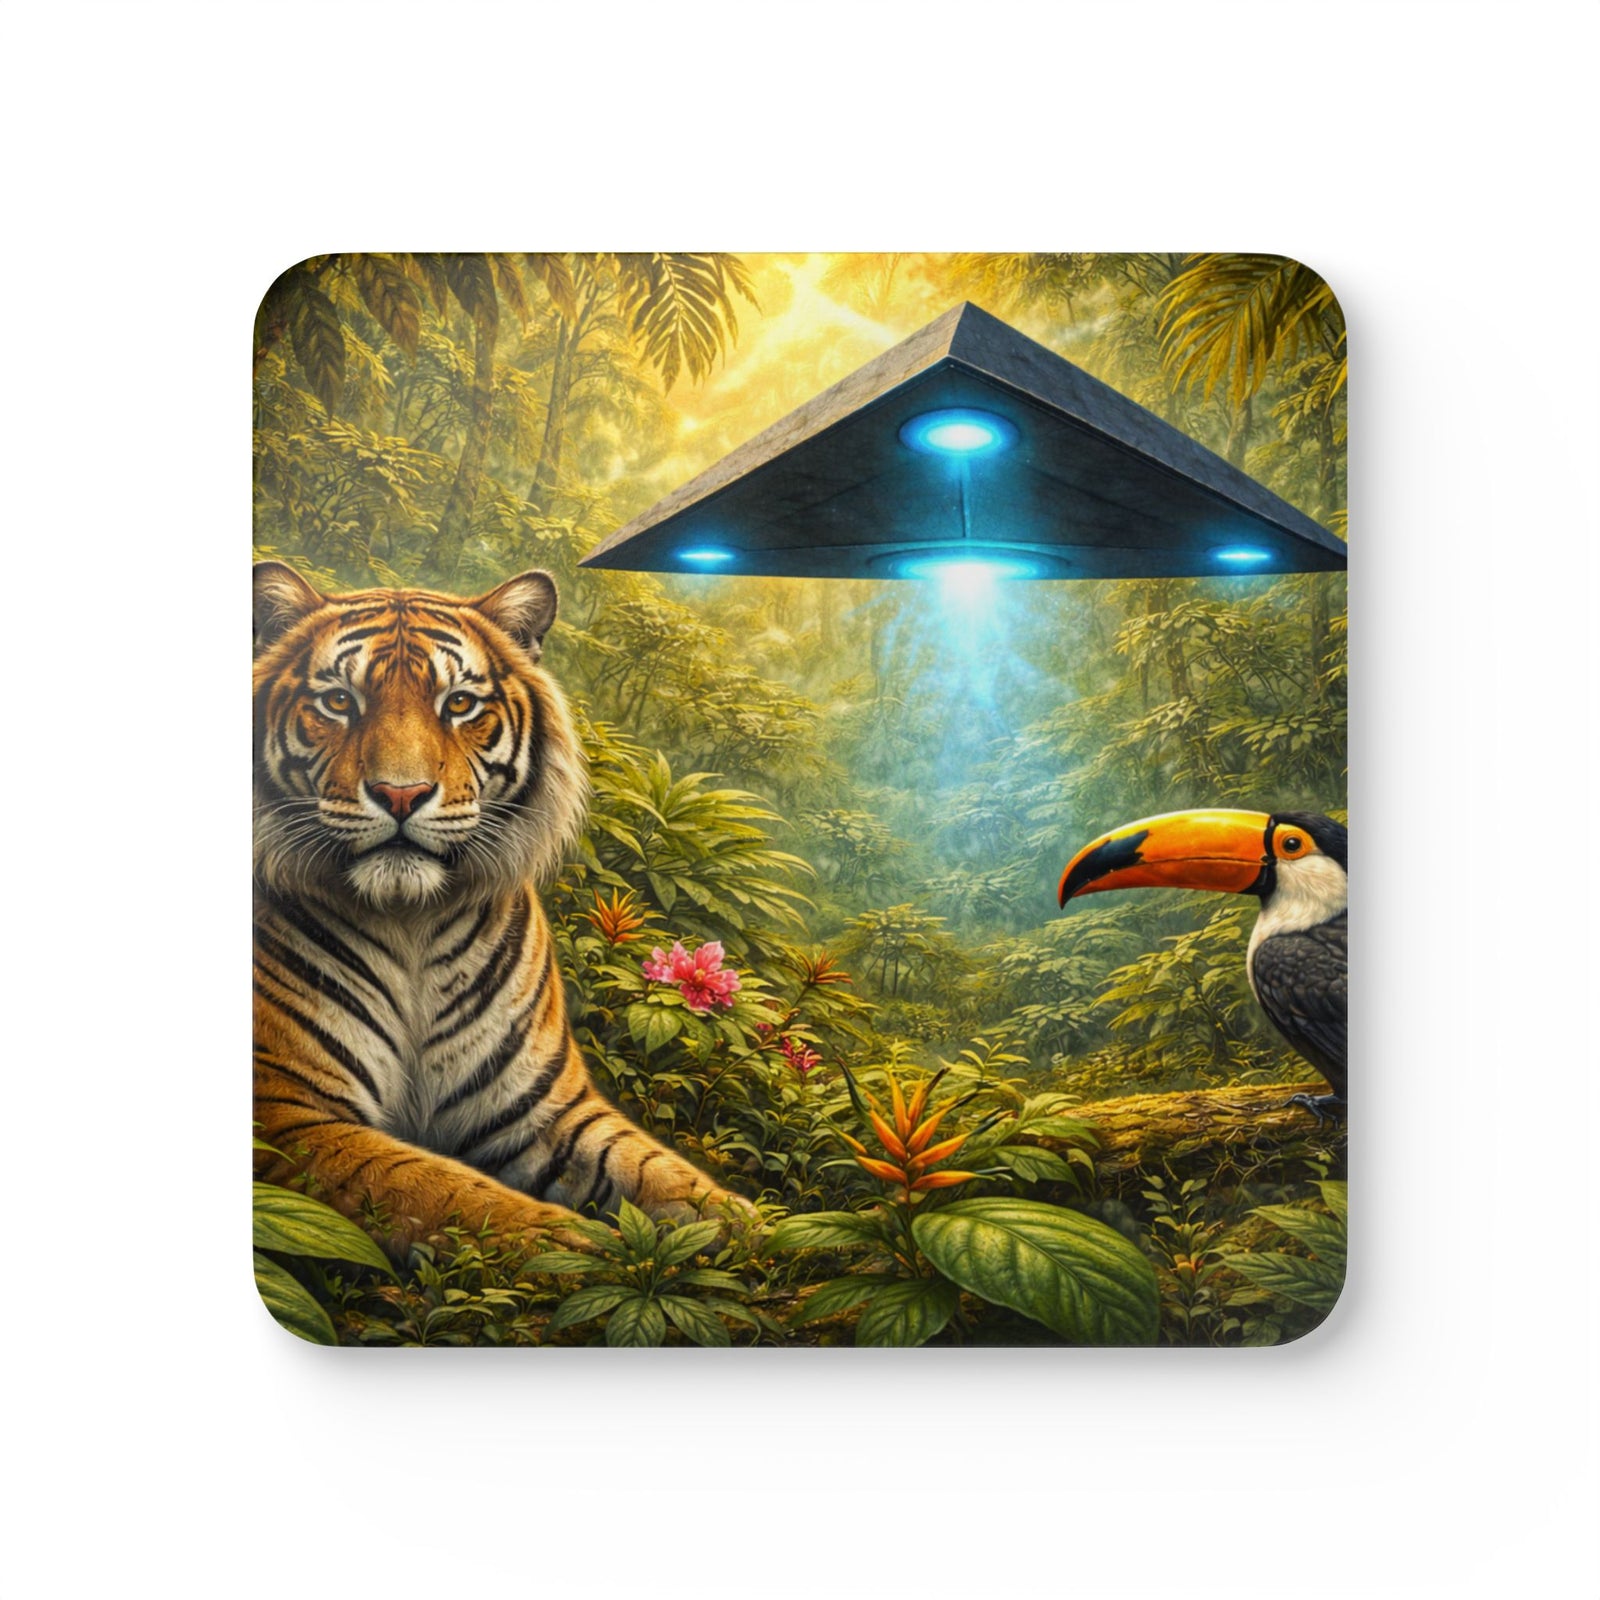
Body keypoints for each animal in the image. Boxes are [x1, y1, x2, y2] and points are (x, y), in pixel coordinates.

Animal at [252, 560, 751, 1254]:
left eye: (459, 704)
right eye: (339, 702)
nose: (400, 794)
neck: (409, 921)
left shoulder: (543, 1111)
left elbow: (662, 1173)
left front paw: (773, 1235)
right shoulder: (288, 1116)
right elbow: (448, 1194)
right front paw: (588, 1254)